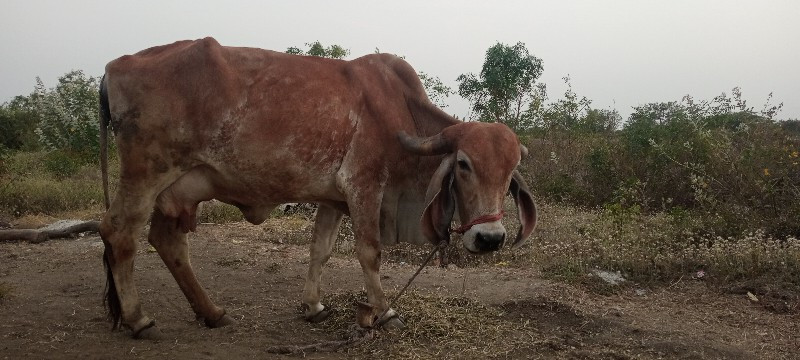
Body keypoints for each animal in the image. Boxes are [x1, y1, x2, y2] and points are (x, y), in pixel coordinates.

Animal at [100, 38, 536, 338]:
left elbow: (320, 250)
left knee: (167, 241)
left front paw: (314, 306)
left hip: (177, 189)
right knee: (119, 232)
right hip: (146, 173)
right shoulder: (364, 186)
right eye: (463, 164)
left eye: (512, 168)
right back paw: (139, 319)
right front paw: (385, 312)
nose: (490, 238)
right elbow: (370, 253)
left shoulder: (332, 198)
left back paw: (212, 313)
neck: (402, 112)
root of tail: (114, 67)